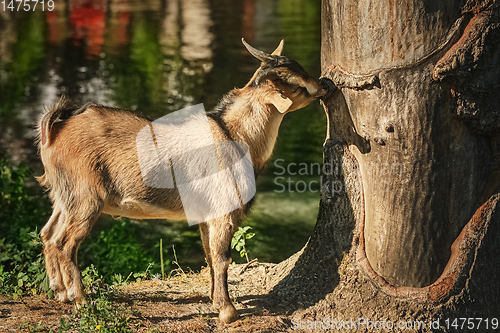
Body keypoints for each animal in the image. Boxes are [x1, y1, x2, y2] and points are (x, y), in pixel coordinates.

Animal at [37, 39, 326, 322]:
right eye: (296, 85)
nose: (325, 84)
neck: (236, 135)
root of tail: (54, 131)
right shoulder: (224, 210)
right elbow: (222, 257)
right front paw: (228, 312)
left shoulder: (207, 214)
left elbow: (209, 254)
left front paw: (214, 300)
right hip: (86, 196)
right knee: (66, 243)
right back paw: (81, 300)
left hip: (64, 195)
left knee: (48, 234)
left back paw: (60, 292)